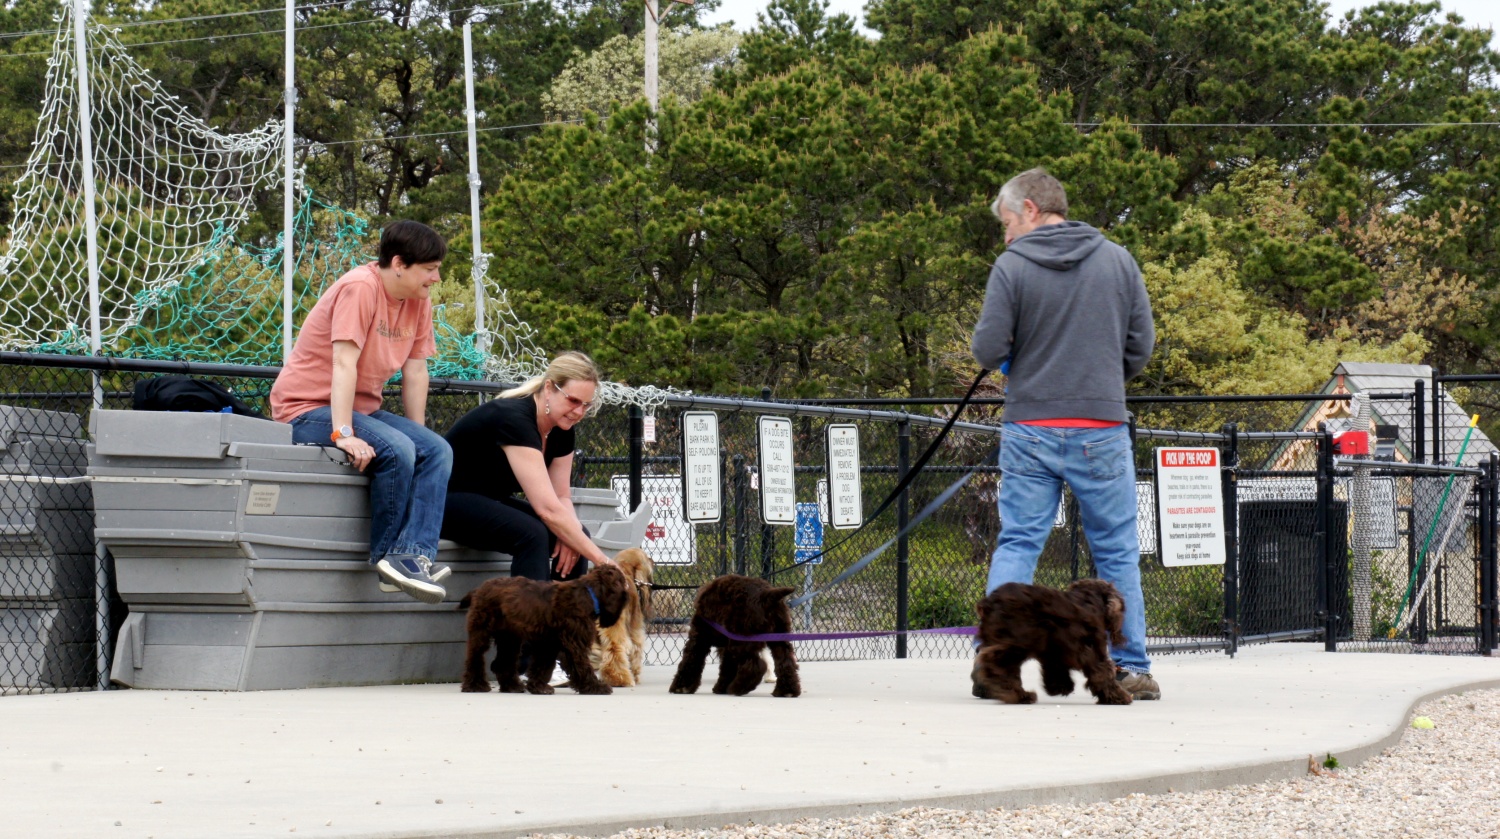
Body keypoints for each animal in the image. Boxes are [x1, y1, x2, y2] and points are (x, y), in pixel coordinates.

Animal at [459, 564, 630, 696]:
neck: (589, 593)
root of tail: (480, 589)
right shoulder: (573, 644)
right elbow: (582, 665)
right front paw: (595, 687)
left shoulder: (548, 643)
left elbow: (542, 666)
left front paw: (538, 687)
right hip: (482, 631)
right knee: (475, 658)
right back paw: (475, 685)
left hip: (509, 638)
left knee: (502, 662)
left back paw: (511, 686)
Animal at [588, 549, 654, 687]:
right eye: (646, 558)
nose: (653, 560)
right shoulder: (635, 630)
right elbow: (636, 649)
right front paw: (635, 675)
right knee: (615, 649)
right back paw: (619, 678)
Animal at [672, 573, 804, 699]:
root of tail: (767, 595)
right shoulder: (726, 646)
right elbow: (727, 667)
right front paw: (721, 687)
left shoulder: (700, 638)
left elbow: (691, 659)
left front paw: (681, 687)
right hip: (778, 637)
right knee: (785, 661)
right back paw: (786, 691)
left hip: (741, 641)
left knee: (756, 666)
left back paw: (738, 688)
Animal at [978, 582, 1128, 705]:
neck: (1090, 600)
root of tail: (989, 602)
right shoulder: (1093, 650)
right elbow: (1103, 673)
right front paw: (1118, 697)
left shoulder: (1053, 650)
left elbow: (1056, 669)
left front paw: (1059, 687)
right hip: (1016, 645)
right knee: (996, 664)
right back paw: (1017, 695)